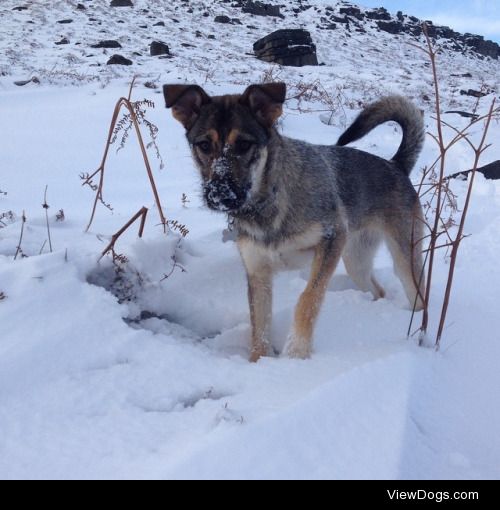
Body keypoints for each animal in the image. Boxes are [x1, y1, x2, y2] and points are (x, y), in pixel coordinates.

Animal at [163, 81, 426, 360]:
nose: (219, 194)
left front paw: (296, 354)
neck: (269, 203)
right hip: (356, 260)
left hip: (404, 258)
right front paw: (260, 361)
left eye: (244, 144)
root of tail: (396, 165)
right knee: (378, 290)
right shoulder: (258, 273)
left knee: (419, 298)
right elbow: (260, 327)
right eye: (203, 145)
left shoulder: (331, 240)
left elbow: (307, 299)